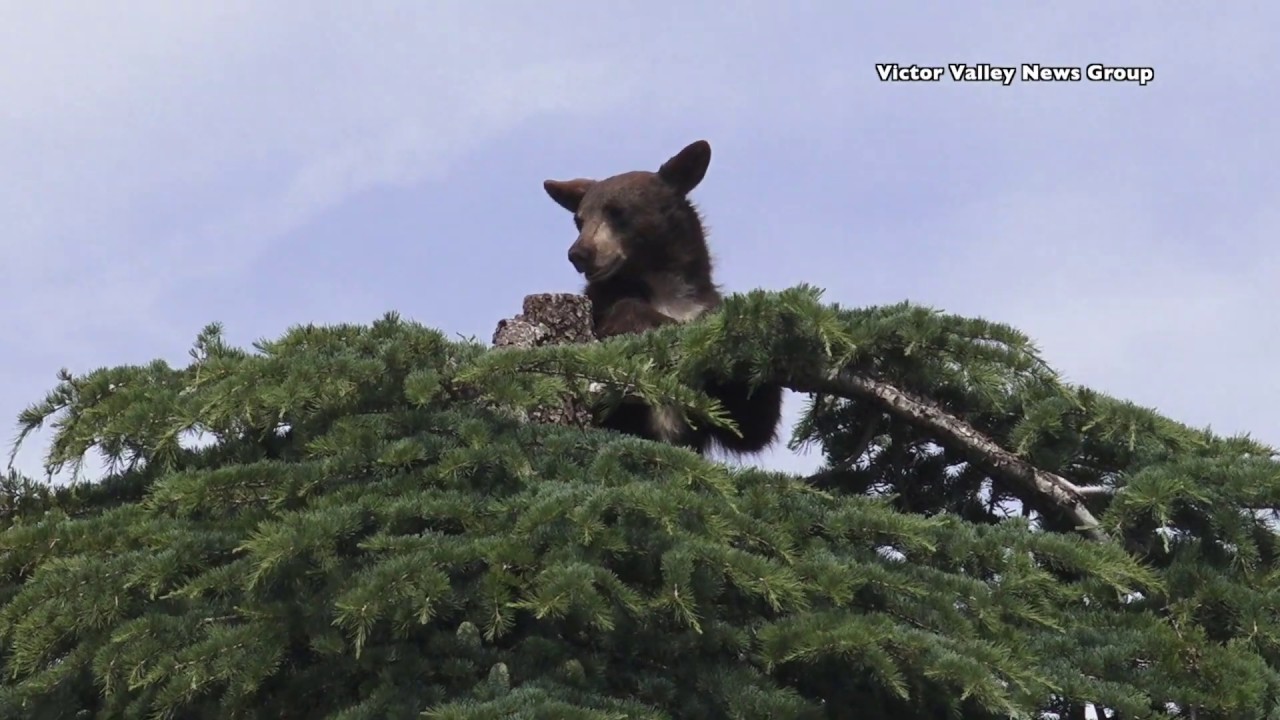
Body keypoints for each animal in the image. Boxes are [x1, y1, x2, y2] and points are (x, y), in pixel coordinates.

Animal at [542, 139, 783, 456]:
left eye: (617, 211)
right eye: (579, 220)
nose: (579, 253)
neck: (663, 286)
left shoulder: (703, 306)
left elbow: (750, 424)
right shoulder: (599, 306)